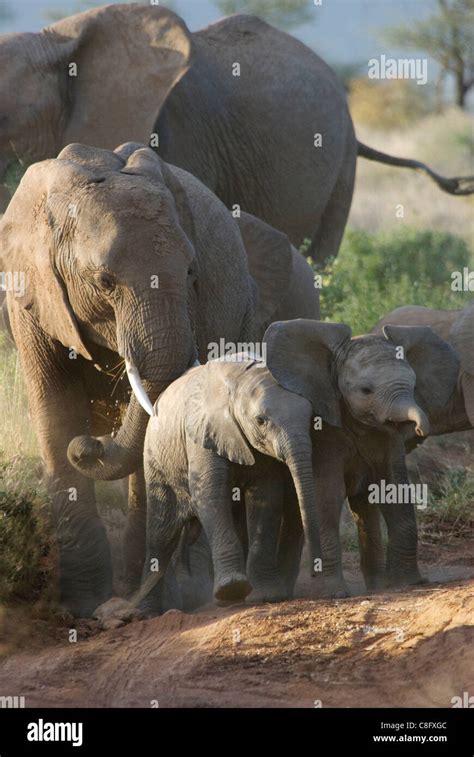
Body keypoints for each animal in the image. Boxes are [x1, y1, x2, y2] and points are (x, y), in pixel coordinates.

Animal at [0, 140, 320, 616]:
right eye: (104, 281)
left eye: (191, 273)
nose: (91, 444)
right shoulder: (33, 294)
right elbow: (56, 412)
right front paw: (82, 607)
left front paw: (137, 605)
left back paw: (191, 593)